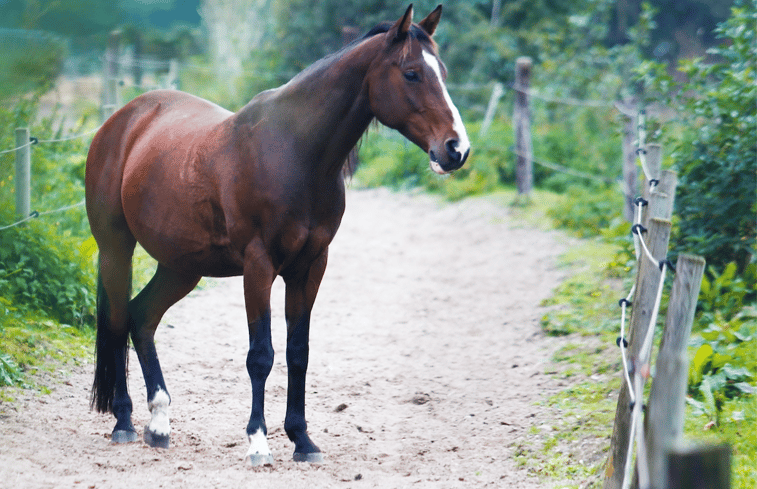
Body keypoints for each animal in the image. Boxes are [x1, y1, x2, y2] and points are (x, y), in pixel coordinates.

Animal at [85, 4, 470, 466]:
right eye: (411, 73)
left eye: (441, 72)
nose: (456, 149)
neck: (295, 152)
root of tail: (124, 120)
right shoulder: (259, 266)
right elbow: (261, 355)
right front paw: (258, 440)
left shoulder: (310, 267)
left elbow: (297, 352)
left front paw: (302, 440)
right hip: (116, 249)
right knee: (118, 318)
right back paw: (124, 421)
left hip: (181, 267)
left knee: (142, 317)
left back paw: (159, 424)